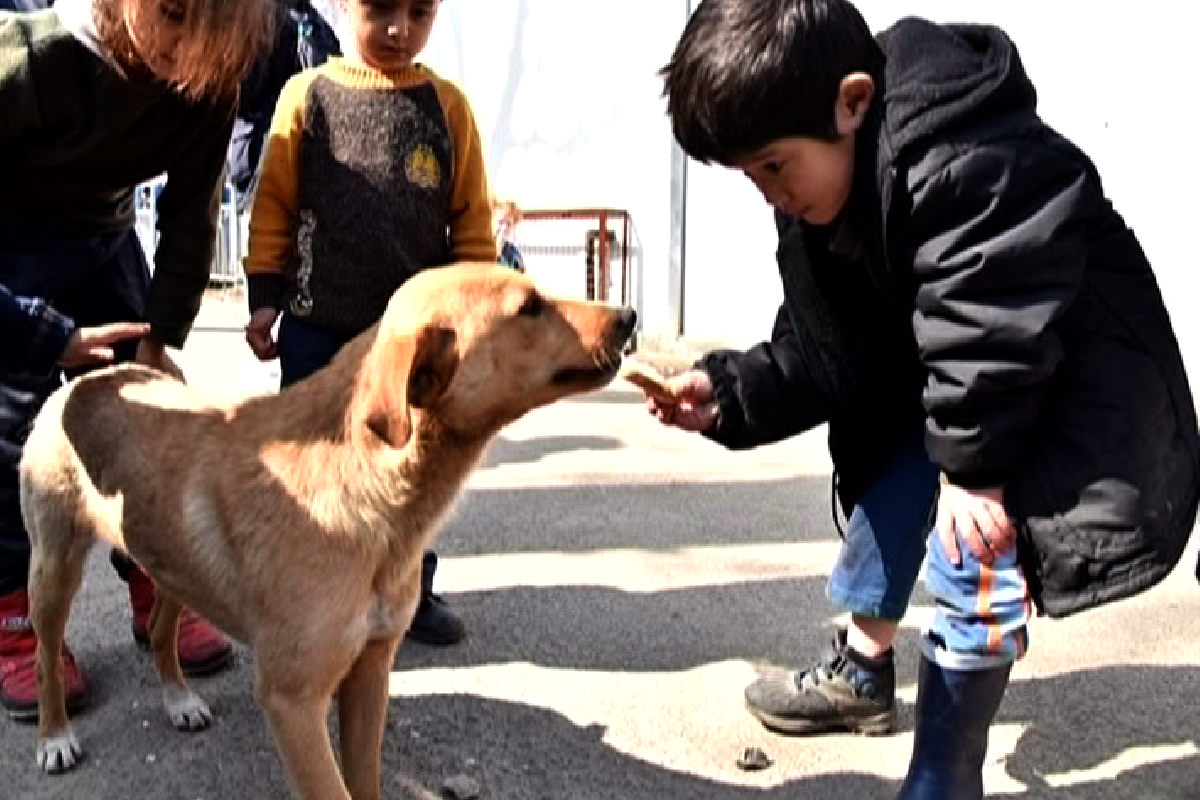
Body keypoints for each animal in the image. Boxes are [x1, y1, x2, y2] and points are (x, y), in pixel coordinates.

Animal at [18, 263, 638, 800]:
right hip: (54, 569)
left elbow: (365, 781)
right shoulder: (293, 703)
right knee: (49, 656)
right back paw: (54, 735)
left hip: (173, 563)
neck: (373, 495)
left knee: (158, 625)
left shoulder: (370, 673)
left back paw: (177, 699)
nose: (630, 315)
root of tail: (98, 376)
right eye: (529, 307)